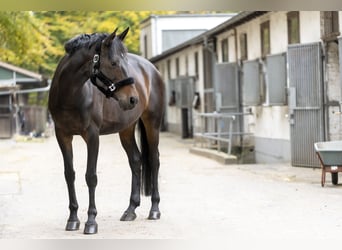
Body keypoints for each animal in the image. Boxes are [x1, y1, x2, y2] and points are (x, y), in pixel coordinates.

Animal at [48, 27, 166, 234]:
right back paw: (130, 210)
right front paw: (73, 219)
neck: (70, 94)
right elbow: (69, 174)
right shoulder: (62, 136)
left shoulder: (92, 136)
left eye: (125, 62)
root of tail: (152, 69)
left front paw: (91, 221)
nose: (133, 99)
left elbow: (91, 176)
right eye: (113, 63)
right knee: (135, 160)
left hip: (152, 124)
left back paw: (154, 209)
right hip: (126, 129)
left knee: (154, 160)